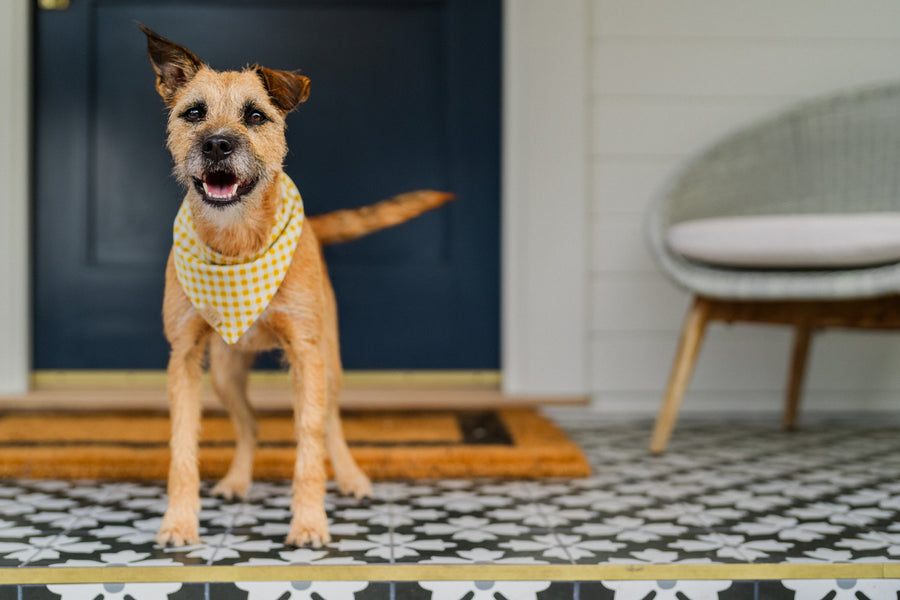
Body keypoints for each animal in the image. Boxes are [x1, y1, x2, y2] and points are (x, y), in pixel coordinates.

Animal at [142, 25, 458, 548]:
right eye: (194, 113)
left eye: (255, 115)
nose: (217, 146)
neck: (238, 243)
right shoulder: (183, 357)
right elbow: (182, 449)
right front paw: (179, 522)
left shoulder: (307, 355)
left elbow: (310, 442)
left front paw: (309, 522)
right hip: (225, 372)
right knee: (250, 426)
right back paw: (236, 481)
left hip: (329, 364)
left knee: (330, 424)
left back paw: (350, 477)